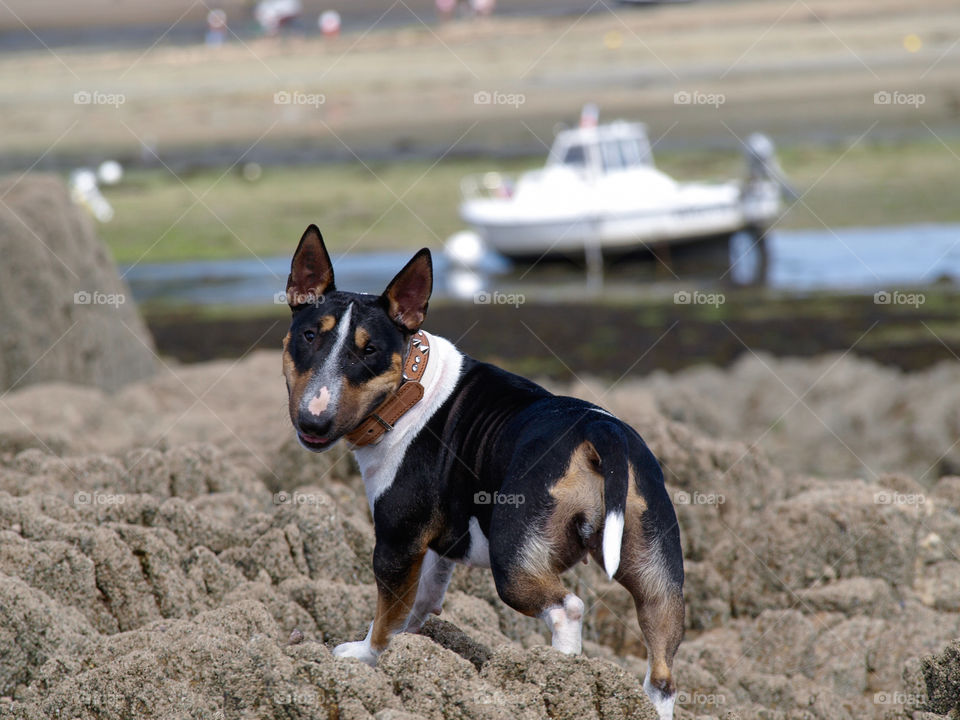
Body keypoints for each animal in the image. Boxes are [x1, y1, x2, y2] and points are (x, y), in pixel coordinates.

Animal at [282, 226, 688, 720]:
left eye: (370, 350)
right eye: (308, 335)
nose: (314, 420)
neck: (410, 387)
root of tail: (599, 429)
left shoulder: (396, 542)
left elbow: (387, 614)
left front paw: (367, 657)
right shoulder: (435, 546)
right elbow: (421, 602)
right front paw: (413, 653)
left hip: (513, 559)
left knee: (567, 608)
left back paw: (557, 672)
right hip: (656, 571)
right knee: (662, 668)